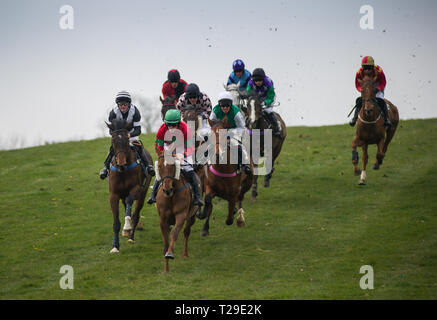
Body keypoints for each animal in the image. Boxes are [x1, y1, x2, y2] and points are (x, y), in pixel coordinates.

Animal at [105, 119, 153, 254]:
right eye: (113, 140)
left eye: (127, 139)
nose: (121, 163)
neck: (123, 171)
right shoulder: (114, 195)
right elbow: (116, 223)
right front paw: (115, 247)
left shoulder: (136, 189)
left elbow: (130, 205)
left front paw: (127, 228)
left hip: (143, 193)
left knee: (135, 214)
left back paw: (131, 237)